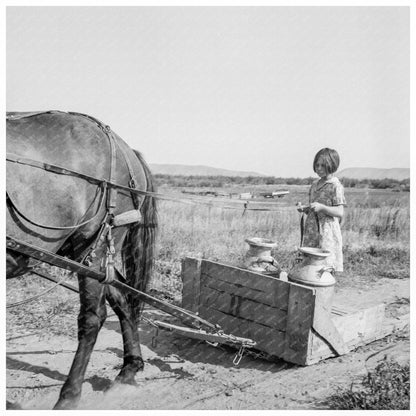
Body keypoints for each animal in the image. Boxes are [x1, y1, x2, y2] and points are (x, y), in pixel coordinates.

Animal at [5, 111, 158, 410]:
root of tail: (125, 149)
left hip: (93, 246)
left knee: (92, 318)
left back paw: (70, 395)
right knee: (121, 297)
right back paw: (129, 368)